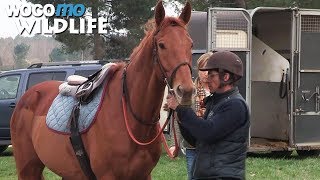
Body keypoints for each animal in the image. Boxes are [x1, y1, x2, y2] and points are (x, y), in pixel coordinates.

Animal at [10, 1, 194, 180]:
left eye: (190, 44)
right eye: (162, 45)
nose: (185, 90)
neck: (129, 116)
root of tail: (28, 96)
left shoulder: (144, 174)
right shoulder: (108, 175)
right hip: (28, 169)